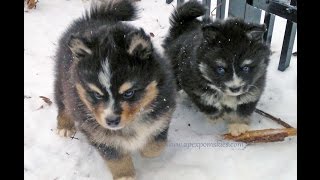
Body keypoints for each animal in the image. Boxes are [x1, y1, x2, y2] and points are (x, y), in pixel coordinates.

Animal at [53, 0, 176, 179]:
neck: (131, 123)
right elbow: (116, 157)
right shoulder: (99, 135)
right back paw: (64, 126)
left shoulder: (163, 114)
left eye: (129, 93)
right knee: (62, 104)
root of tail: (93, 18)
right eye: (97, 95)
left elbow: (156, 145)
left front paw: (146, 151)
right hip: (63, 83)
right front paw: (125, 175)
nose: (111, 121)